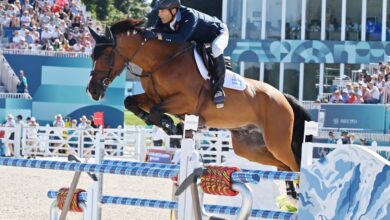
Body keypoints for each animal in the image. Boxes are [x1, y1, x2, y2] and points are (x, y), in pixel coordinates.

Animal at [87, 18, 312, 172]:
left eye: (105, 56)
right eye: (92, 56)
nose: (93, 91)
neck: (162, 61)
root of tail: (283, 97)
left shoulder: (186, 102)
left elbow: (157, 111)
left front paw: (172, 127)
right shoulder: (153, 98)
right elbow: (131, 102)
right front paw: (165, 124)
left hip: (277, 142)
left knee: (294, 165)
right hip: (250, 147)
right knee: (284, 166)